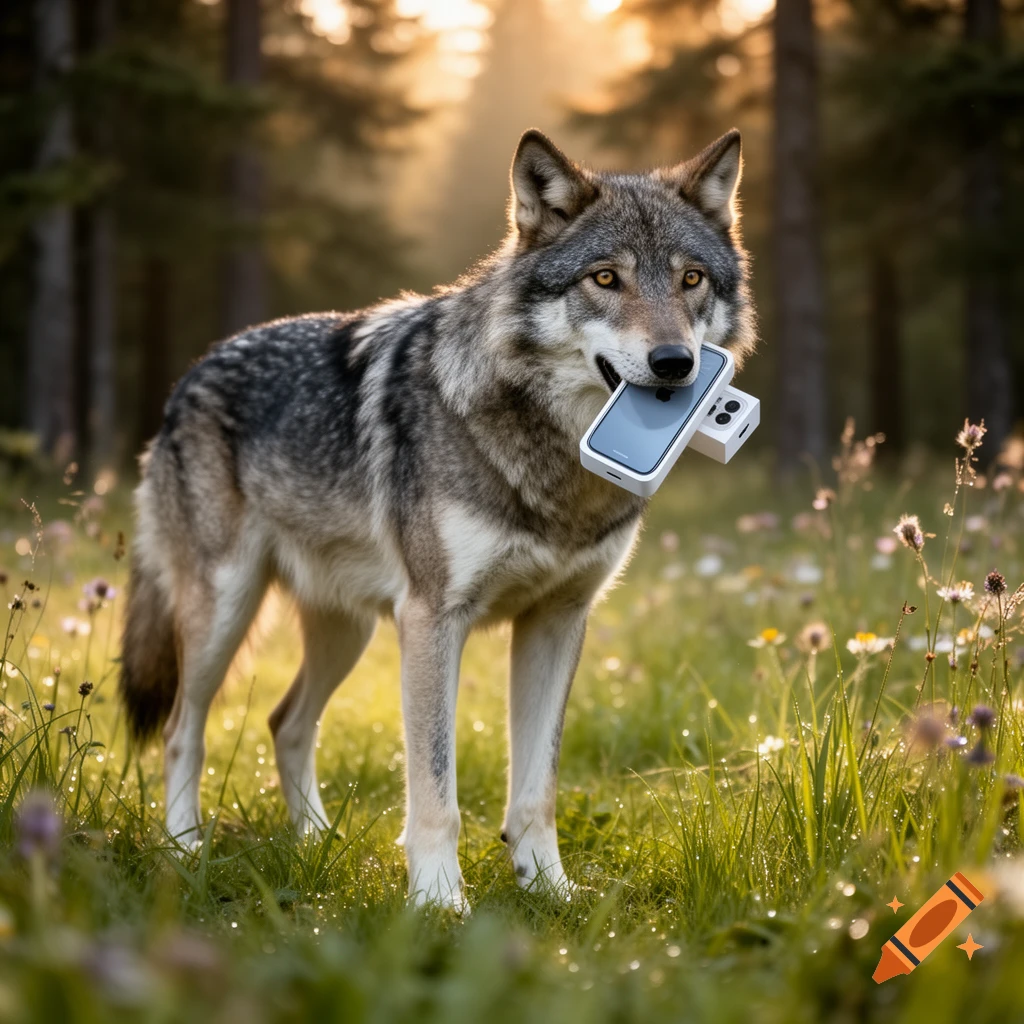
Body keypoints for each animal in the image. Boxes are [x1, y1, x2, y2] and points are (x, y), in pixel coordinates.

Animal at [119, 128, 755, 912]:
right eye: (606, 279)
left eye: (691, 279)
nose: (674, 364)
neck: (553, 469)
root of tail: (190, 375)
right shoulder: (432, 620)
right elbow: (434, 790)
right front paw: (438, 902)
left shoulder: (557, 621)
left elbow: (536, 789)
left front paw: (550, 889)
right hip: (227, 613)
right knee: (184, 728)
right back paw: (183, 849)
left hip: (349, 631)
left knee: (286, 723)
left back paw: (319, 844)